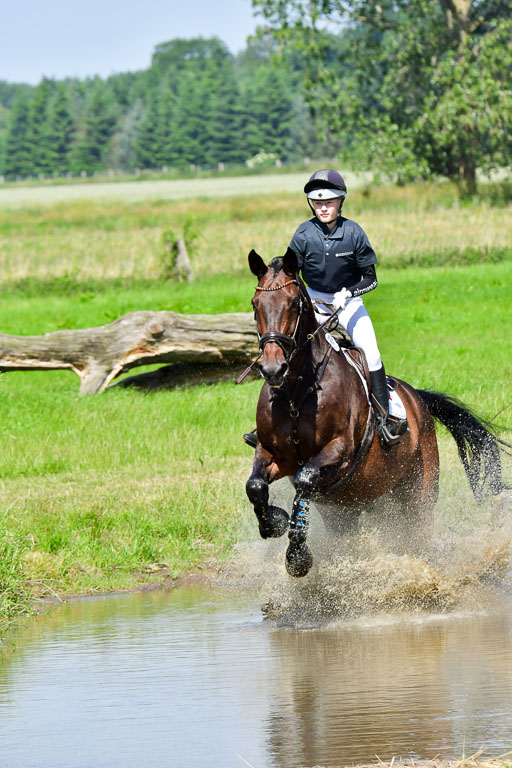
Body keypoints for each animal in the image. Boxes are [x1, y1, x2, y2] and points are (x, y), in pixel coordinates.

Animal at [245, 247, 507, 578]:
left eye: (294, 304)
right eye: (255, 304)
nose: (272, 369)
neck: (296, 392)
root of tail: (418, 399)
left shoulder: (340, 452)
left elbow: (304, 480)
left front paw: (297, 558)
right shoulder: (273, 453)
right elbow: (255, 486)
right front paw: (275, 521)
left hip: (417, 494)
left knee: (417, 535)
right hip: (357, 505)